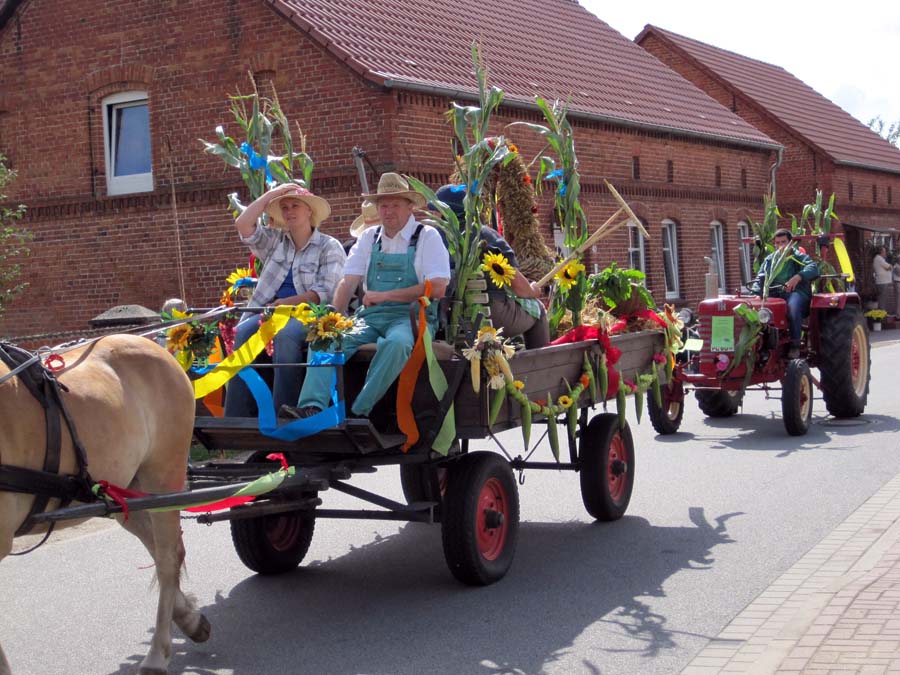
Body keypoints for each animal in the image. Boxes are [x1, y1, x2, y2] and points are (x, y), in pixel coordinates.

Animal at [0, 334, 210, 675]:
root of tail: (154, 346)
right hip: (125, 492)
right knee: (161, 550)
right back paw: (189, 619)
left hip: (163, 474)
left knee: (168, 557)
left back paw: (157, 654)